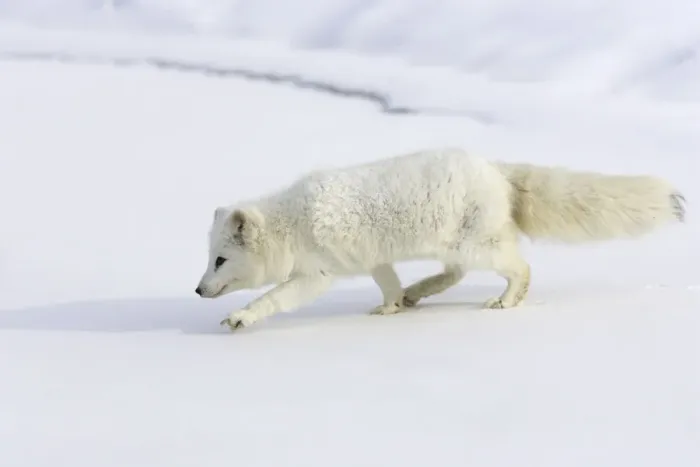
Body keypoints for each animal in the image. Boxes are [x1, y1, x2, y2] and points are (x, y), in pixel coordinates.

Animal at [194, 148, 685, 331]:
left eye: (220, 261)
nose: (198, 290)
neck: (293, 223)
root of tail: (496, 169)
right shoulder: (374, 258)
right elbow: (387, 283)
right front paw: (391, 307)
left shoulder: (317, 273)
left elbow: (274, 298)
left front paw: (240, 317)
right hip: (454, 245)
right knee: (453, 275)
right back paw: (416, 294)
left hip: (476, 245)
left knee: (519, 268)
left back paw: (506, 301)